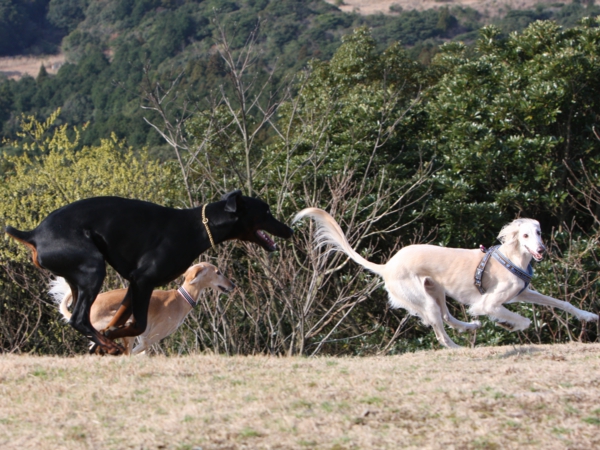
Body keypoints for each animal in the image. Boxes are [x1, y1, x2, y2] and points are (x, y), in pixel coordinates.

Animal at [294, 208, 599, 348]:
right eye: (524, 235)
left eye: (539, 233)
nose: (541, 250)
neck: (513, 260)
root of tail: (387, 266)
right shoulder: (489, 302)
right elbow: (518, 318)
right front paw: (510, 325)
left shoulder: (523, 292)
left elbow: (561, 303)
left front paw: (589, 316)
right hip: (423, 298)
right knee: (440, 332)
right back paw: (458, 346)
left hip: (435, 291)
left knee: (448, 317)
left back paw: (470, 326)